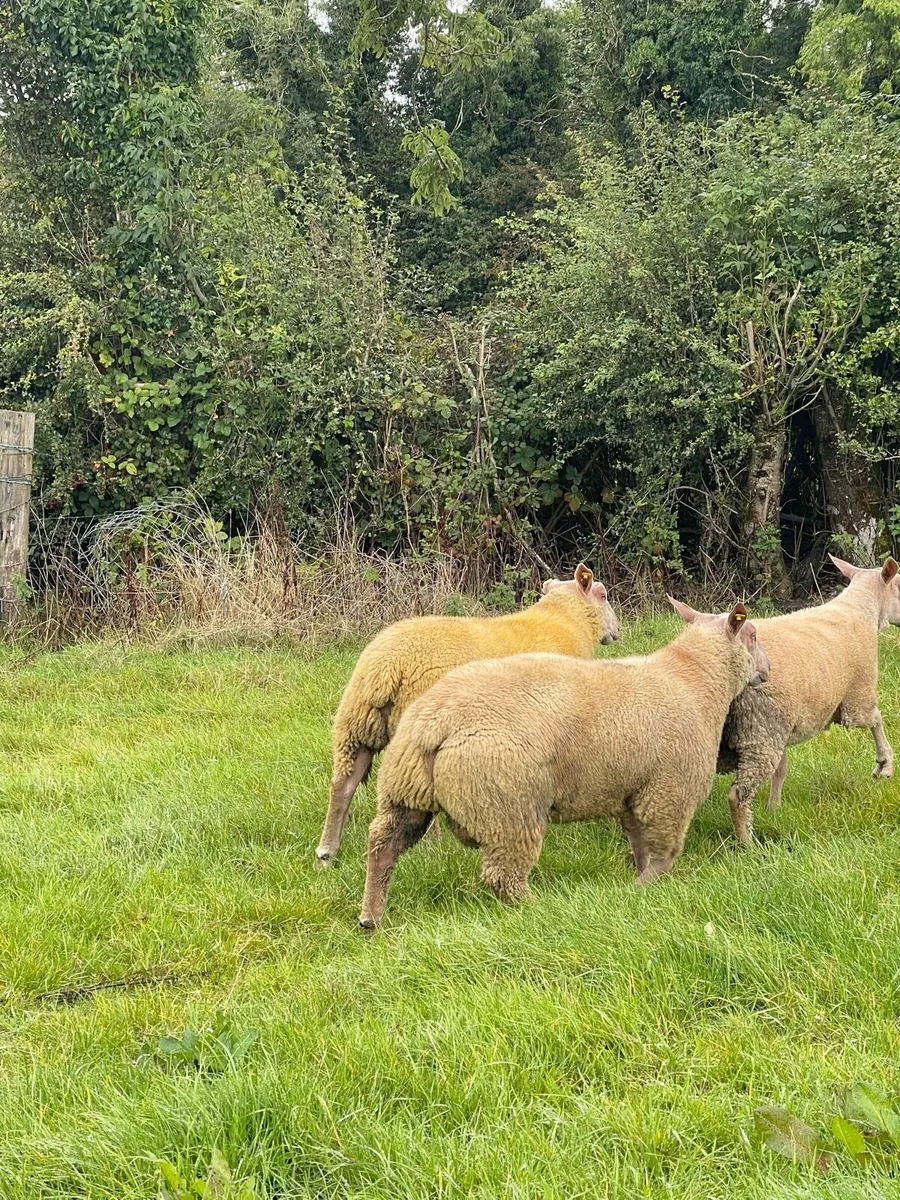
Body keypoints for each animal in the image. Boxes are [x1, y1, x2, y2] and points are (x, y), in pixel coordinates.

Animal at [316, 564, 620, 867]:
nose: (618, 630)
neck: (567, 619)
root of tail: (387, 667)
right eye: (603, 594)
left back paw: (327, 852)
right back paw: (432, 846)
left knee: (343, 784)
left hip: (357, 724)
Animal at [358, 601, 769, 928]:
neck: (694, 680)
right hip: (507, 807)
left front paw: (637, 882)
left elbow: (639, 845)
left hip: (405, 791)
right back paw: (538, 908)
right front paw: (642, 889)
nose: (767, 670)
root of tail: (433, 723)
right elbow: (663, 854)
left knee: (382, 846)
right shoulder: (669, 791)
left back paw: (371, 917)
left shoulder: (632, 789)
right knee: (503, 877)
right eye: (752, 634)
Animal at [710, 555, 900, 846]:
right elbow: (876, 719)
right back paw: (747, 843)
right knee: (737, 794)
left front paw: (774, 809)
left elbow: (782, 769)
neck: (861, 608)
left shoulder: (785, 722)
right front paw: (884, 764)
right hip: (759, 728)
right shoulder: (857, 693)